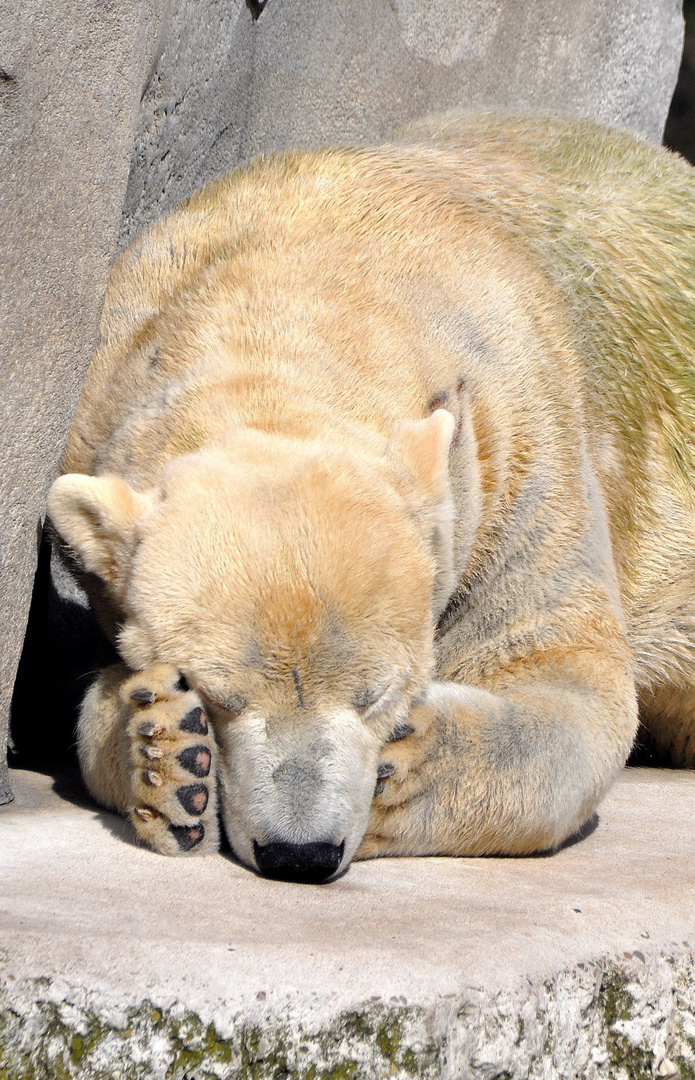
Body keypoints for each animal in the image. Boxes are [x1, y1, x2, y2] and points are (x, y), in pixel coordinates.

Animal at [47, 113, 695, 881]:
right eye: (219, 696)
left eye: (376, 694)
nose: (300, 852)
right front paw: (169, 754)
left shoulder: (518, 440)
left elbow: (564, 668)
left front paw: (406, 767)